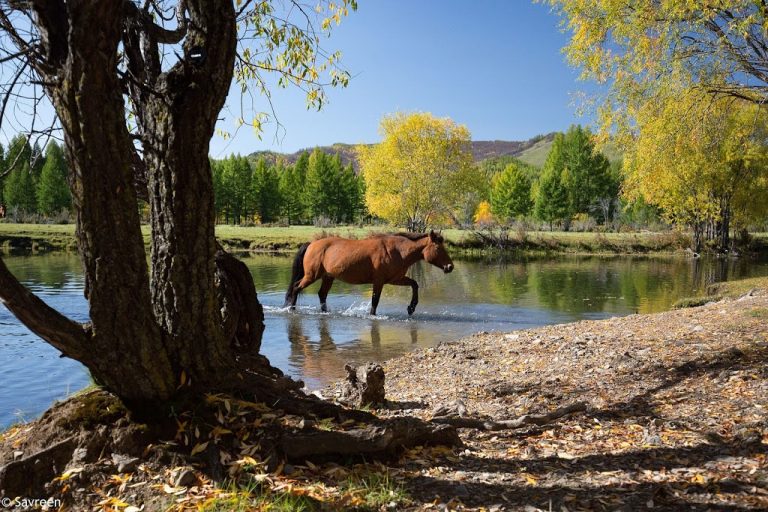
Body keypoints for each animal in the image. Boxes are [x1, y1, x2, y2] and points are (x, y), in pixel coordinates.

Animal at [284, 230, 454, 316]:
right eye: (438, 247)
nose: (450, 267)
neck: (397, 251)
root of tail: (311, 244)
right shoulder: (379, 281)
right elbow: (375, 301)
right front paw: (373, 316)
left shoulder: (395, 279)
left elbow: (415, 284)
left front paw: (411, 308)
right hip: (311, 276)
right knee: (296, 288)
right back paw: (292, 310)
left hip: (328, 277)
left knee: (321, 294)